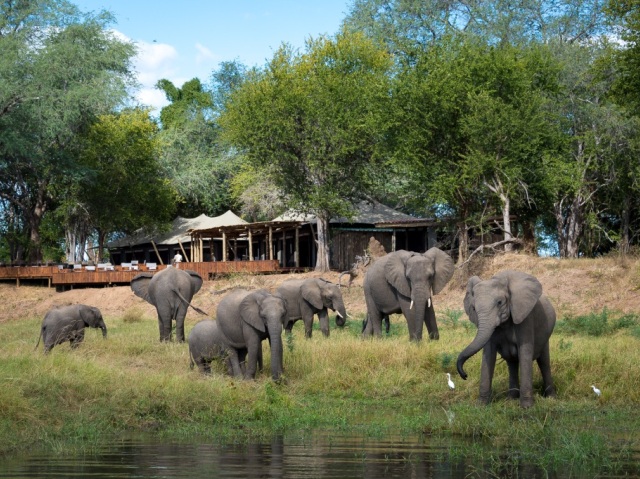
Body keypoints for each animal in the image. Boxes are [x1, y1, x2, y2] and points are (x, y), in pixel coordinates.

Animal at [456, 270, 556, 408]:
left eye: (499, 302)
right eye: (474, 308)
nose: (465, 375)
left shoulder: (525, 317)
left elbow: (525, 353)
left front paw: (527, 407)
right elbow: (488, 355)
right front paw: (481, 406)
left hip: (546, 334)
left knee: (544, 362)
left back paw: (551, 398)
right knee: (512, 363)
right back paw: (511, 399)